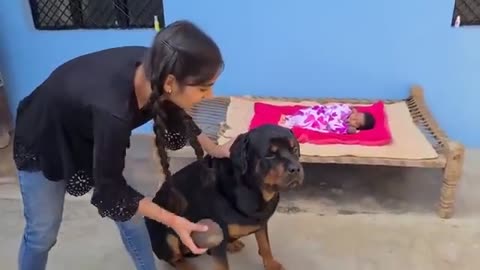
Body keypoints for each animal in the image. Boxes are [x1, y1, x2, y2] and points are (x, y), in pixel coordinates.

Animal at [145, 123, 304, 268]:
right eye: (269, 155)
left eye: (294, 149)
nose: (295, 168)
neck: (251, 189)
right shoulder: (217, 241)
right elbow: (223, 265)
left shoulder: (261, 221)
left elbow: (265, 244)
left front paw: (271, 264)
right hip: (168, 239)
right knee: (175, 259)